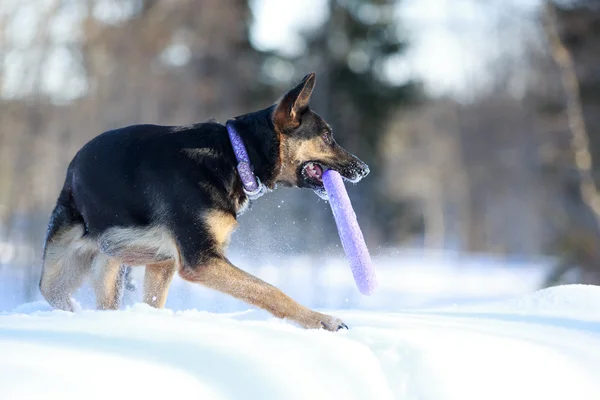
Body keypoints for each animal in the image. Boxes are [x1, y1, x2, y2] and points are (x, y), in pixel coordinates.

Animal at [38, 72, 370, 332]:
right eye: (326, 136)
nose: (364, 169)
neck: (237, 155)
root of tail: (72, 170)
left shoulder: (174, 260)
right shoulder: (201, 260)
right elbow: (268, 290)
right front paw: (321, 320)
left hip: (134, 262)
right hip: (59, 271)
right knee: (53, 291)